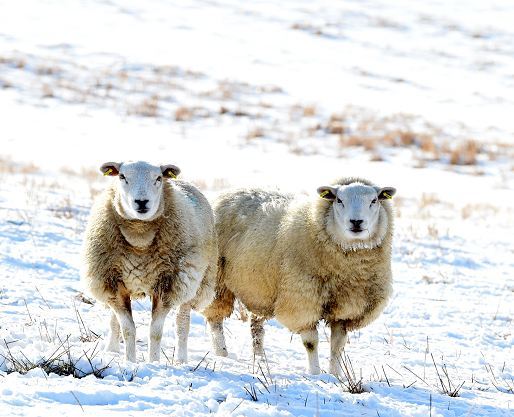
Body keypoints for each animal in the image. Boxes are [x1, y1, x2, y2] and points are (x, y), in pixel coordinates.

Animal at [81, 161, 216, 362]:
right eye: (122, 176)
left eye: (158, 178)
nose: (142, 202)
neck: (139, 237)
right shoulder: (113, 284)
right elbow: (127, 329)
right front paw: (130, 361)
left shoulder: (167, 286)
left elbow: (155, 332)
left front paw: (154, 362)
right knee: (114, 321)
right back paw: (112, 349)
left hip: (193, 282)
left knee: (182, 323)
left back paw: (181, 360)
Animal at [202, 176, 394, 374]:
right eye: (339, 200)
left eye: (374, 200)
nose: (356, 222)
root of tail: (229, 192)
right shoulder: (302, 302)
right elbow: (311, 342)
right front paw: (315, 373)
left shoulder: (346, 309)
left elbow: (337, 346)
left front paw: (335, 375)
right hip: (218, 279)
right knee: (215, 320)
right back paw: (222, 353)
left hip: (260, 289)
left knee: (256, 327)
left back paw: (260, 359)